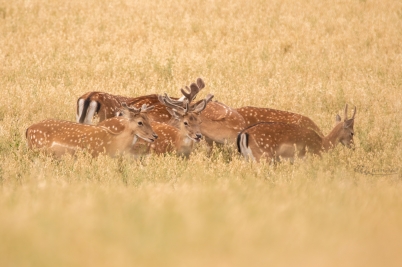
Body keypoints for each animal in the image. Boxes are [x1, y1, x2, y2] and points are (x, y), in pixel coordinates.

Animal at [26, 104, 158, 159]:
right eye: (140, 122)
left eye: (149, 120)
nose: (155, 136)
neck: (113, 142)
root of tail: (28, 129)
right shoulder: (94, 155)